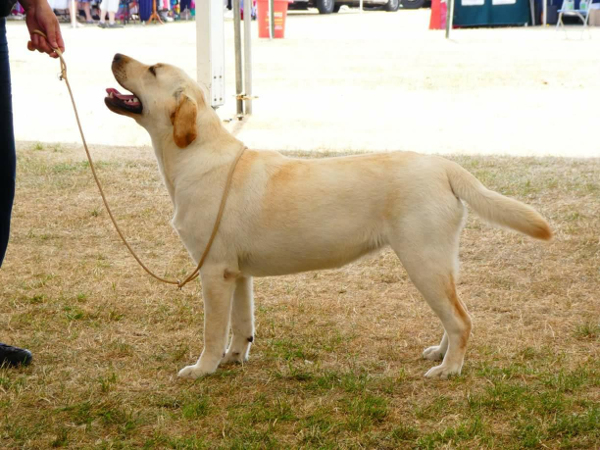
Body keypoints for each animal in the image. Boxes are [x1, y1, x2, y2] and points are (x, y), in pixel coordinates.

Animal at [105, 53, 552, 380]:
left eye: (152, 69)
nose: (115, 55)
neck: (196, 156)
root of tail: (443, 165)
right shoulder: (237, 274)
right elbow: (241, 323)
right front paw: (234, 358)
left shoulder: (213, 271)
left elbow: (212, 330)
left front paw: (203, 369)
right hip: (440, 263)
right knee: (453, 314)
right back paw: (440, 354)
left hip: (421, 260)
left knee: (461, 320)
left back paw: (449, 369)